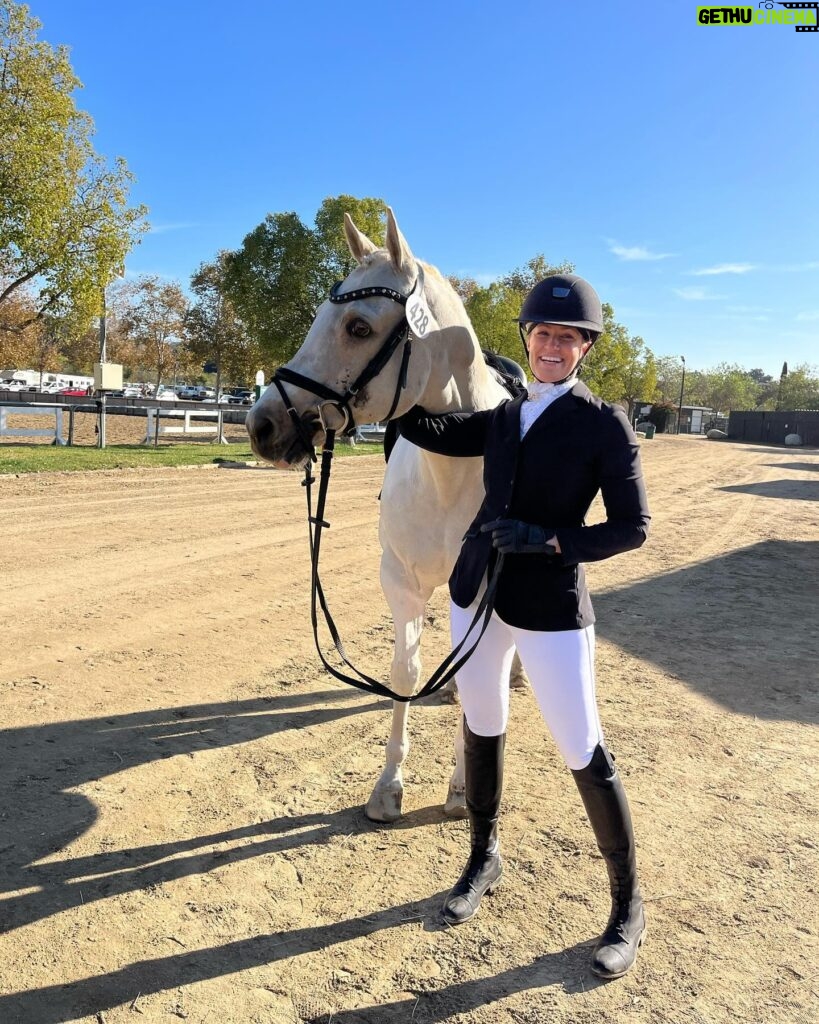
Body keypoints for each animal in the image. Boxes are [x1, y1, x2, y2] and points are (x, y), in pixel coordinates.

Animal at [246, 209, 522, 823]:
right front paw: (389, 786)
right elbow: (405, 674)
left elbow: (479, 675)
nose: (262, 425)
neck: (452, 473)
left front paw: (462, 789)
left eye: (358, 327)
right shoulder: (401, 581)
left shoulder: (486, 589)